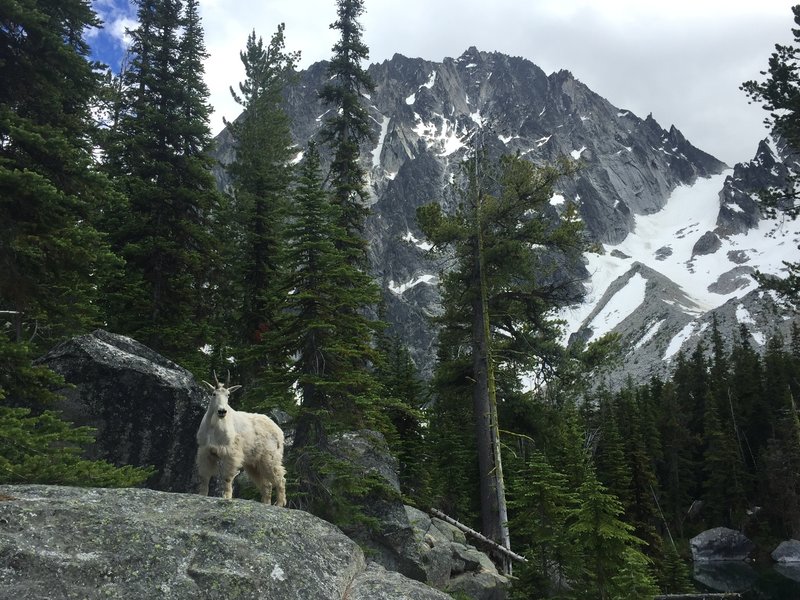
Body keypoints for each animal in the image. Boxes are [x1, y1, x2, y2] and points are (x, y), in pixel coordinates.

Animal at [197, 370, 288, 506]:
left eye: (228, 395)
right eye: (214, 394)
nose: (222, 411)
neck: (214, 425)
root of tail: (279, 431)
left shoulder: (230, 452)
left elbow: (227, 477)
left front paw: (226, 497)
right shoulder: (206, 451)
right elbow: (204, 477)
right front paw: (202, 495)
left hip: (270, 457)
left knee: (280, 478)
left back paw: (280, 504)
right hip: (253, 463)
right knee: (266, 485)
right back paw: (265, 503)